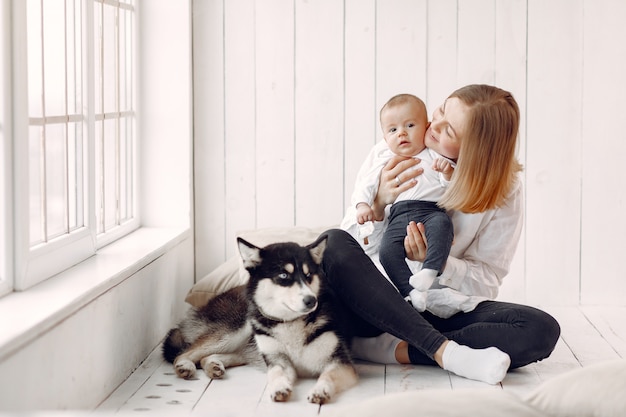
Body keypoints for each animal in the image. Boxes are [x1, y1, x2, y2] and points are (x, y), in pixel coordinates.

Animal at [161, 237, 356, 404]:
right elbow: (276, 374)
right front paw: (279, 387)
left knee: (209, 356)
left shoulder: (340, 362)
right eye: (283, 276)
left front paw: (320, 390)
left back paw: (212, 365)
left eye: (308, 276)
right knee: (185, 353)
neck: (290, 322)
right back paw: (185, 365)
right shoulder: (277, 360)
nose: (311, 300)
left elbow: (327, 376)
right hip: (237, 329)